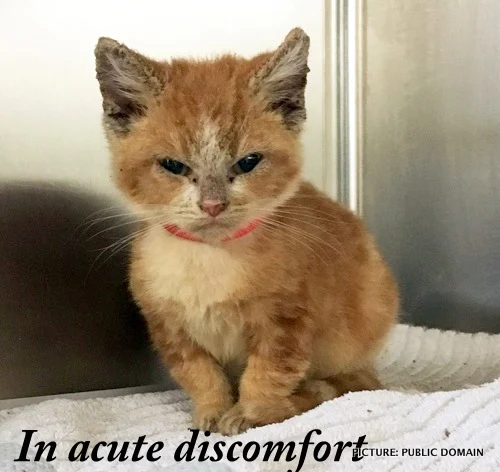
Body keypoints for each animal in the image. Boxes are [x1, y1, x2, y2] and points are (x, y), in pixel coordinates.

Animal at [94, 28, 398, 436]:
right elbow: (199, 373)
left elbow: (268, 372)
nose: (212, 204)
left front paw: (251, 413)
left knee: (354, 383)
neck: (208, 259)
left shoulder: (286, 322)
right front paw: (211, 410)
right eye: (173, 165)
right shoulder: (168, 325)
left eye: (248, 162)